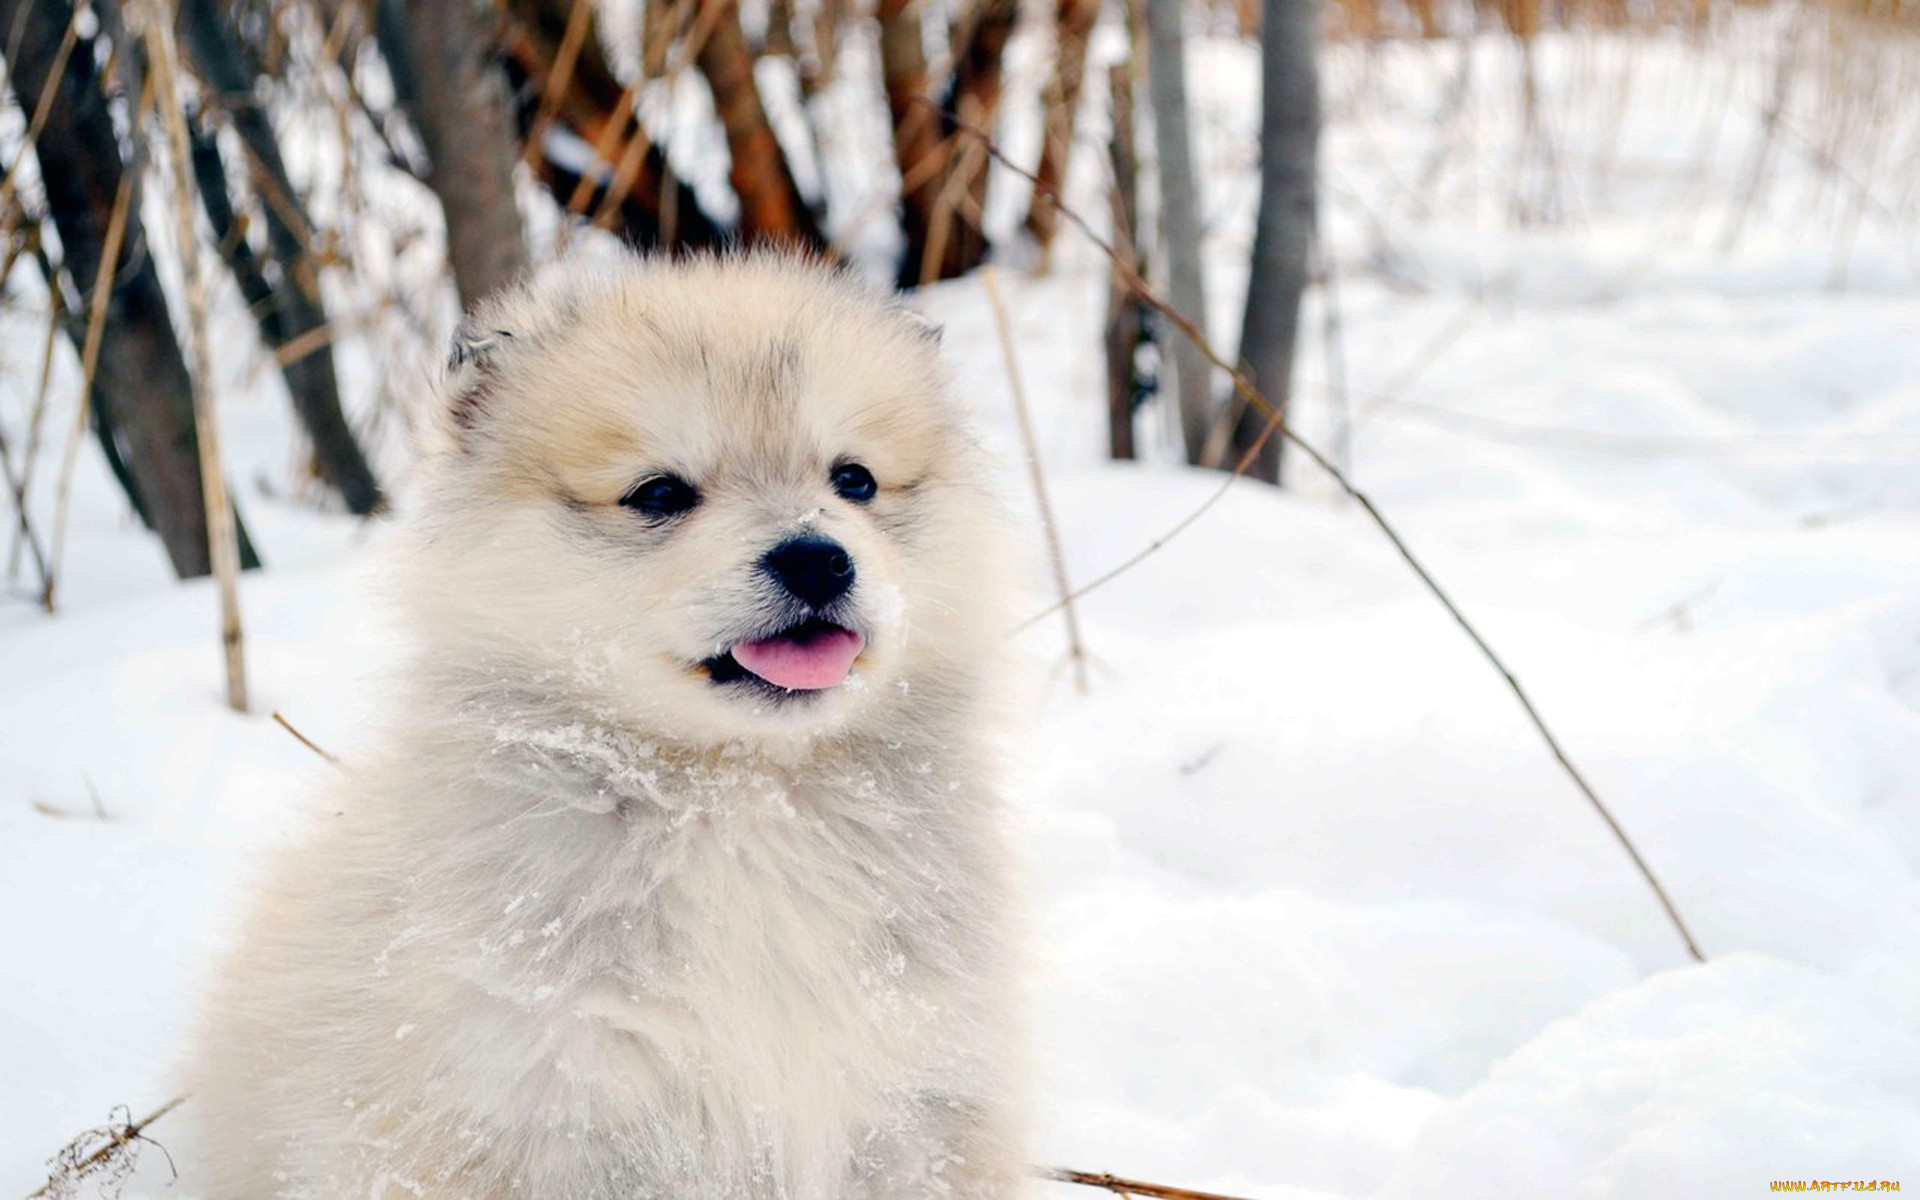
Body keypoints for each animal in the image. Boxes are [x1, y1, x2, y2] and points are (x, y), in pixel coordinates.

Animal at [185, 247, 1036, 1190]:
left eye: (853, 480)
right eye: (659, 493)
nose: (817, 558)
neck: (742, 797)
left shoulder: (915, 1098)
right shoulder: (548, 1102)